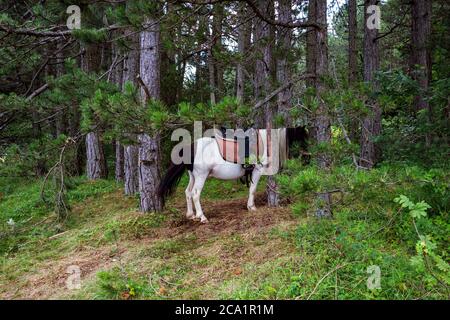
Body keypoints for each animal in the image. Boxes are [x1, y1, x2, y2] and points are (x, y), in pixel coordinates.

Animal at [156, 127, 308, 222]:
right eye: (303, 138)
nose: (308, 159)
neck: (264, 142)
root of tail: (191, 146)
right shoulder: (257, 171)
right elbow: (252, 190)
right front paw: (251, 207)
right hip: (201, 176)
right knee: (195, 194)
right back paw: (202, 217)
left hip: (193, 176)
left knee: (187, 192)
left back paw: (191, 215)